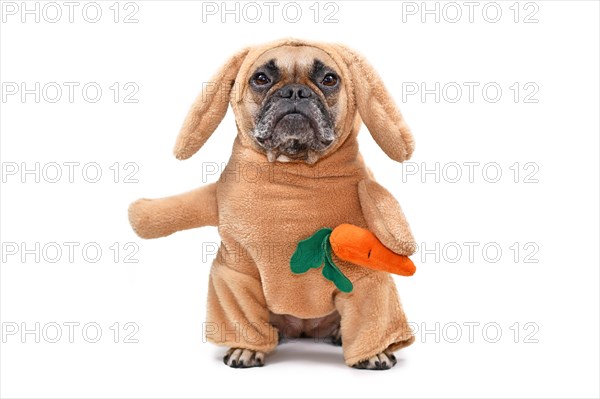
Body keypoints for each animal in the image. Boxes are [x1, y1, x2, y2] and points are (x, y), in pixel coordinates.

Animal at [127, 39, 418, 370]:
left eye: (329, 79)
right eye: (261, 78)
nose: (295, 92)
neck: (293, 171)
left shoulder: (366, 278)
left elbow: (372, 318)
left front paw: (374, 352)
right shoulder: (236, 275)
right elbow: (242, 317)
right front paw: (245, 349)